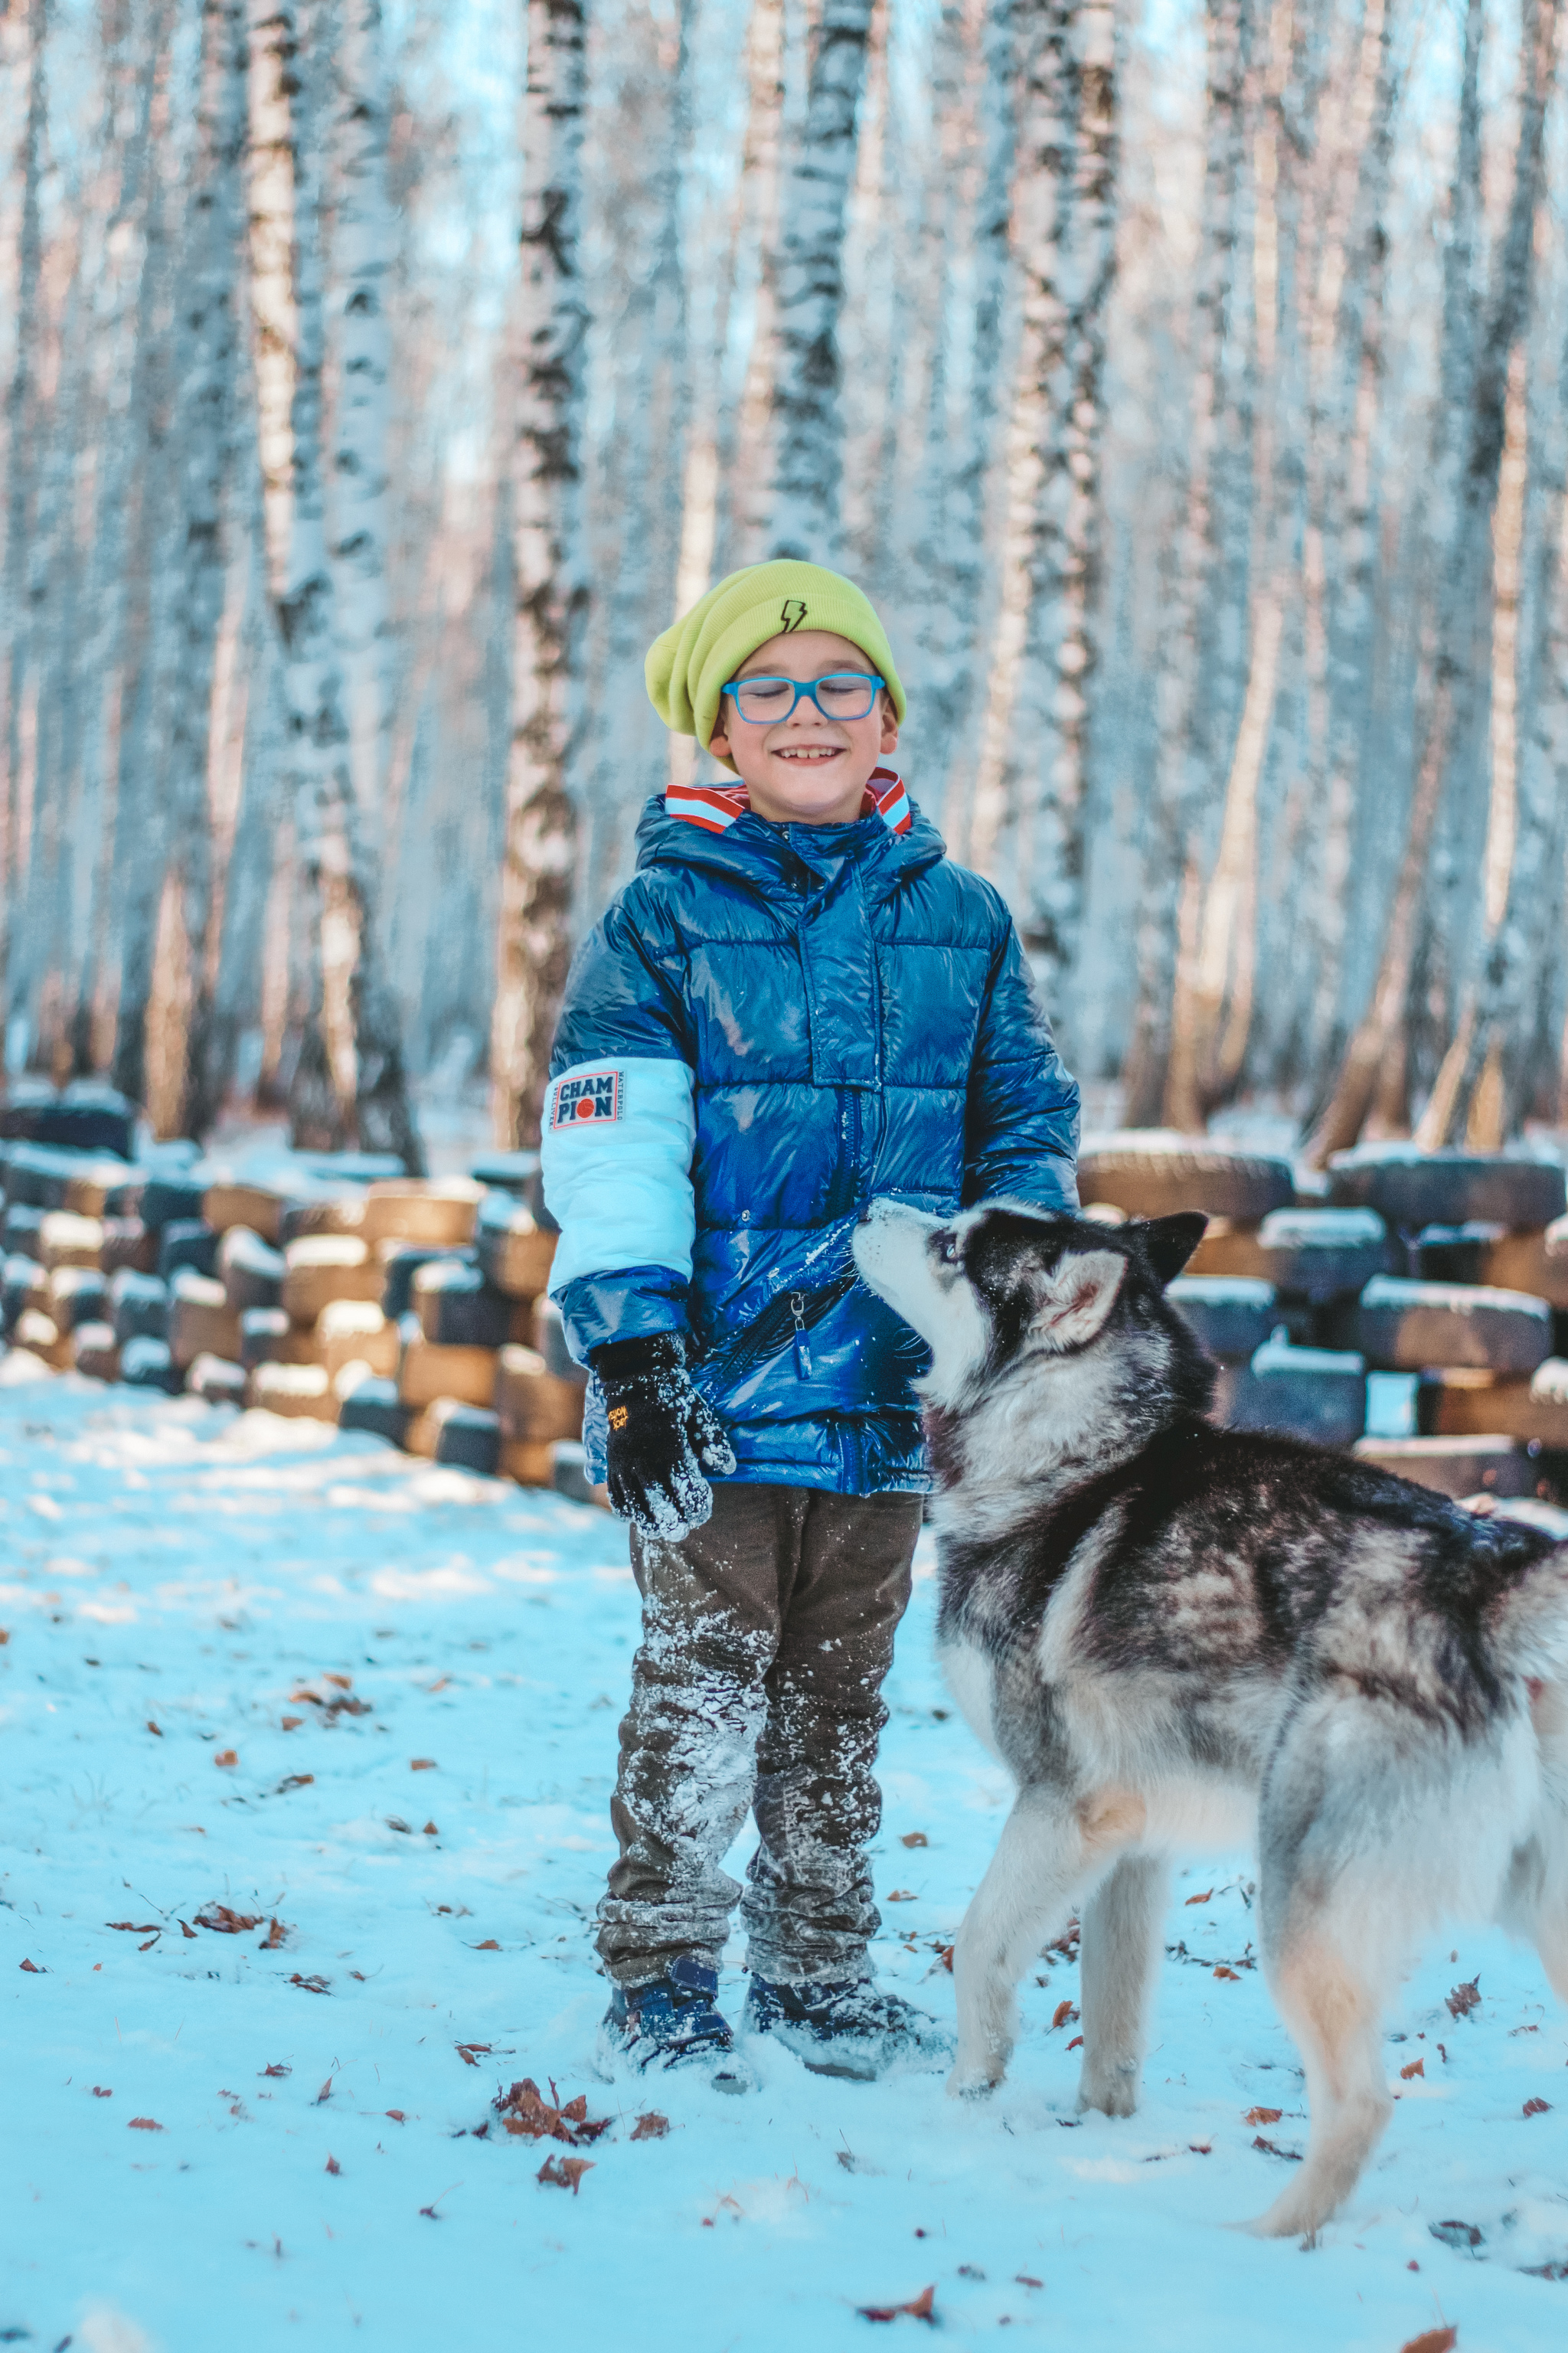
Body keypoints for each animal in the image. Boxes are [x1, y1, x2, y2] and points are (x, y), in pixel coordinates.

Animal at [857, 1204, 1563, 2230]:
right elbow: (1109, 2013)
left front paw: (969, 2098)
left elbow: (977, 1946)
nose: (870, 1208)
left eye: (952, 1244)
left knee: (1359, 2103)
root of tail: (1490, 1578)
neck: (1072, 1455)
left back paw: (1269, 2235)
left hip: (1297, 1907)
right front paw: (1100, 2128)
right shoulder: (1131, 1842)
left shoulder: (1058, 1805)